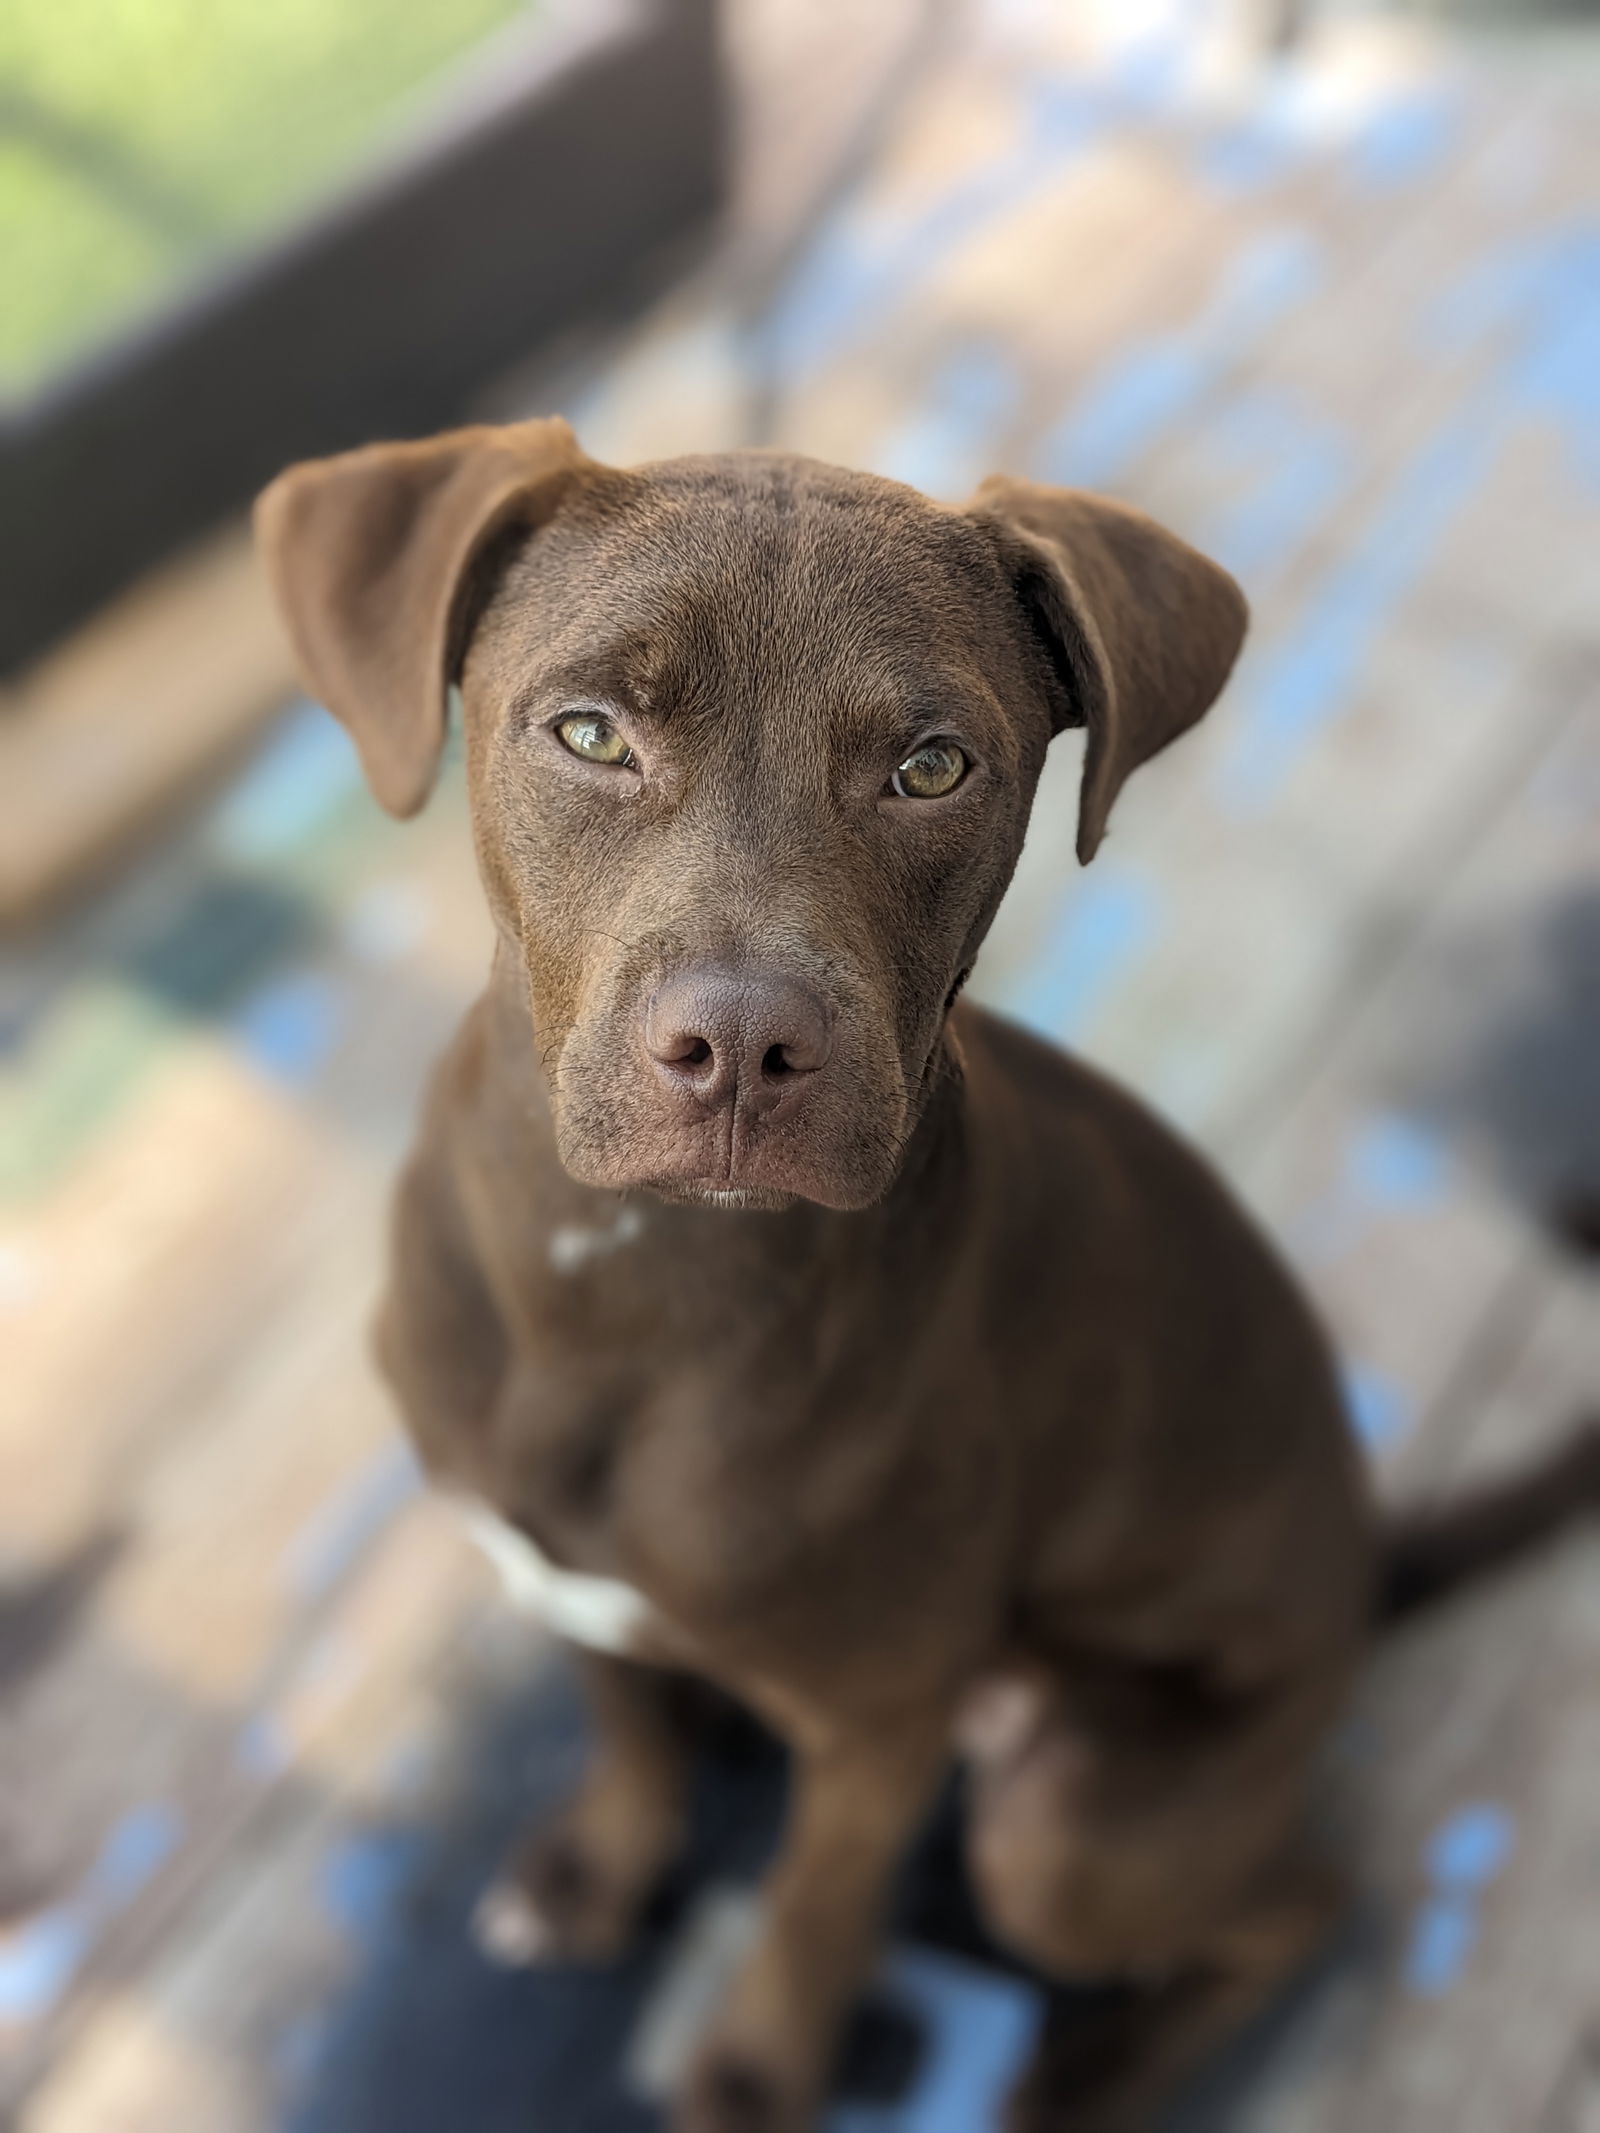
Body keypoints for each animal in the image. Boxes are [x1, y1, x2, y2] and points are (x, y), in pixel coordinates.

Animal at [253, 420, 1600, 2133]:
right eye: (588, 732)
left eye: (933, 766)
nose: (744, 1047)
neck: (630, 1275)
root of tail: (1364, 1570)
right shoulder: (544, 1562)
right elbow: (617, 1710)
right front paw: (605, 1862)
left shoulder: (883, 1728)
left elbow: (815, 1912)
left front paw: (755, 2081)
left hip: (1068, 1825)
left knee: (1306, 1898)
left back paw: (1088, 2077)